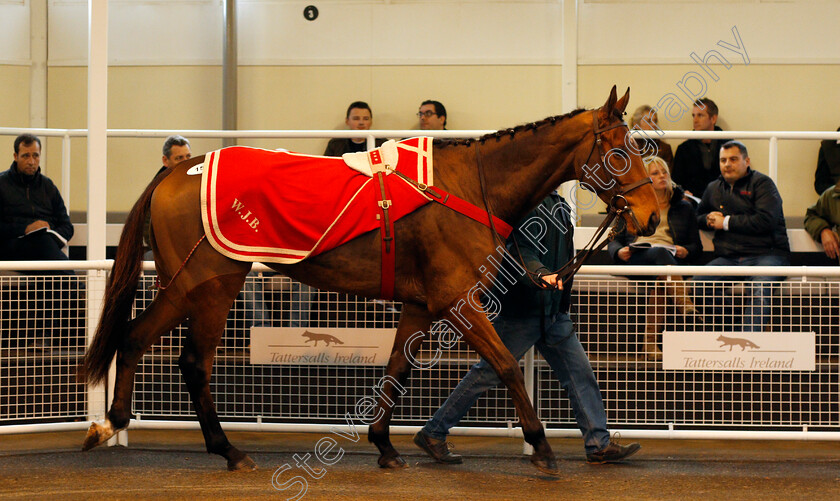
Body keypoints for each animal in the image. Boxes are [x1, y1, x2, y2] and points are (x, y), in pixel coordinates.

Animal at [77, 86, 656, 472]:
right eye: (619, 147)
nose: (651, 214)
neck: (468, 186)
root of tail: (177, 172)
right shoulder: (458, 301)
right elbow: (506, 366)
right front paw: (541, 445)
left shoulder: (421, 304)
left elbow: (397, 370)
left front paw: (385, 444)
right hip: (211, 283)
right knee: (193, 363)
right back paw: (227, 449)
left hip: (182, 283)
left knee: (133, 337)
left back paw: (115, 420)